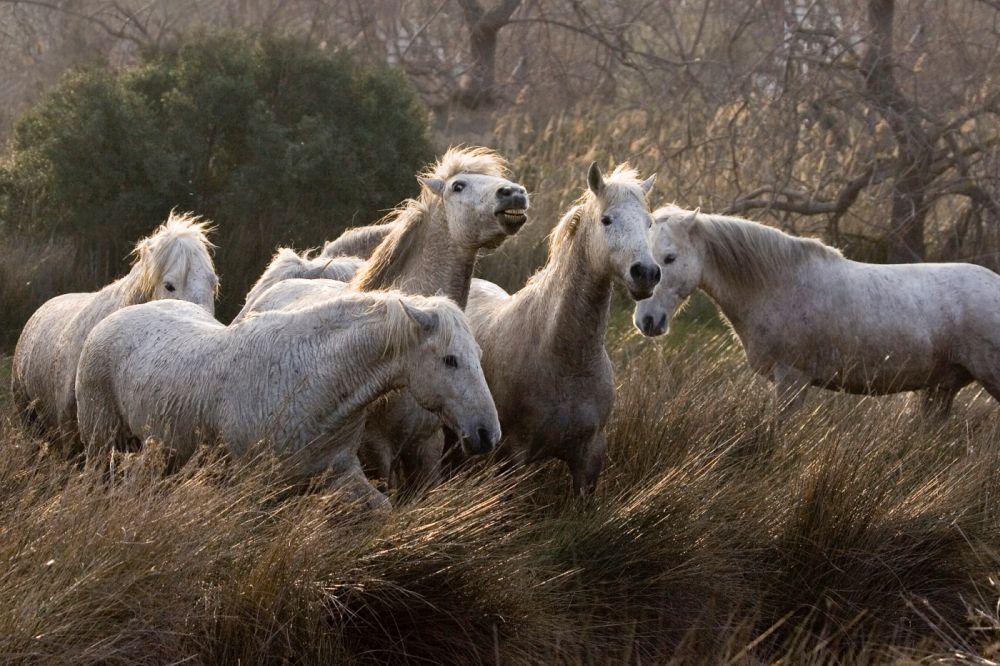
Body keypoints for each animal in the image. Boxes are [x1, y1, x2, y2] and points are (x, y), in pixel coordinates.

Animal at [75, 288, 500, 506]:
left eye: (478, 355)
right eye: (450, 360)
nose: (488, 435)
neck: (311, 380)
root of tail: (106, 324)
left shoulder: (339, 473)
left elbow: (381, 510)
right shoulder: (258, 488)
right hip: (101, 444)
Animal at [464, 162, 660, 492]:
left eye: (649, 223)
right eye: (606, 219)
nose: (646, 273)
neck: (565, 357)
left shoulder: (589, 459)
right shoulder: (512, 456)